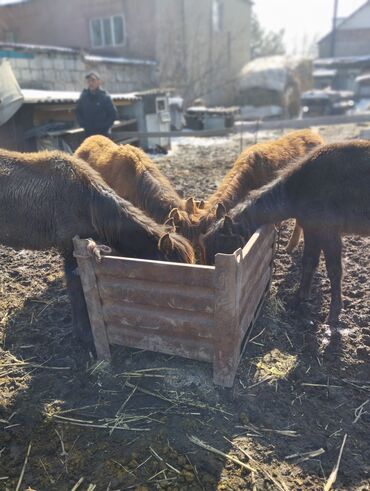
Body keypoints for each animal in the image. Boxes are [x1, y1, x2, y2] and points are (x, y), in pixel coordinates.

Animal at [199, 141, 370, 322]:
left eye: (223, 246)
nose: (210, 278)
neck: (300, 189)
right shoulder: (313, 231)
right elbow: (309, 262)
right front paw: (299, 298)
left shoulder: (329, 234)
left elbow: (334, 270)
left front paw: (334, 313)